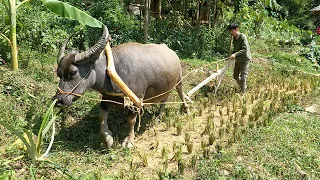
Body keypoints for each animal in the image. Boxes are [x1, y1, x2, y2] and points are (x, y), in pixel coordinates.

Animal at [54, 25, 189, 149]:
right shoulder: (106, 99)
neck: (113, 72)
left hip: (179, 80)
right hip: (165, 88)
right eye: (58, 73)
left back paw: (185, 109)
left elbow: (131, 120)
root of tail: (172, 52)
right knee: (164, 100)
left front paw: (129, 140)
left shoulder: (136, 100)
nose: (59, 100)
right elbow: (102, 117)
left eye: (73, 72)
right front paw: (107, 139)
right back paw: (159, 116)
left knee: (181, 94)